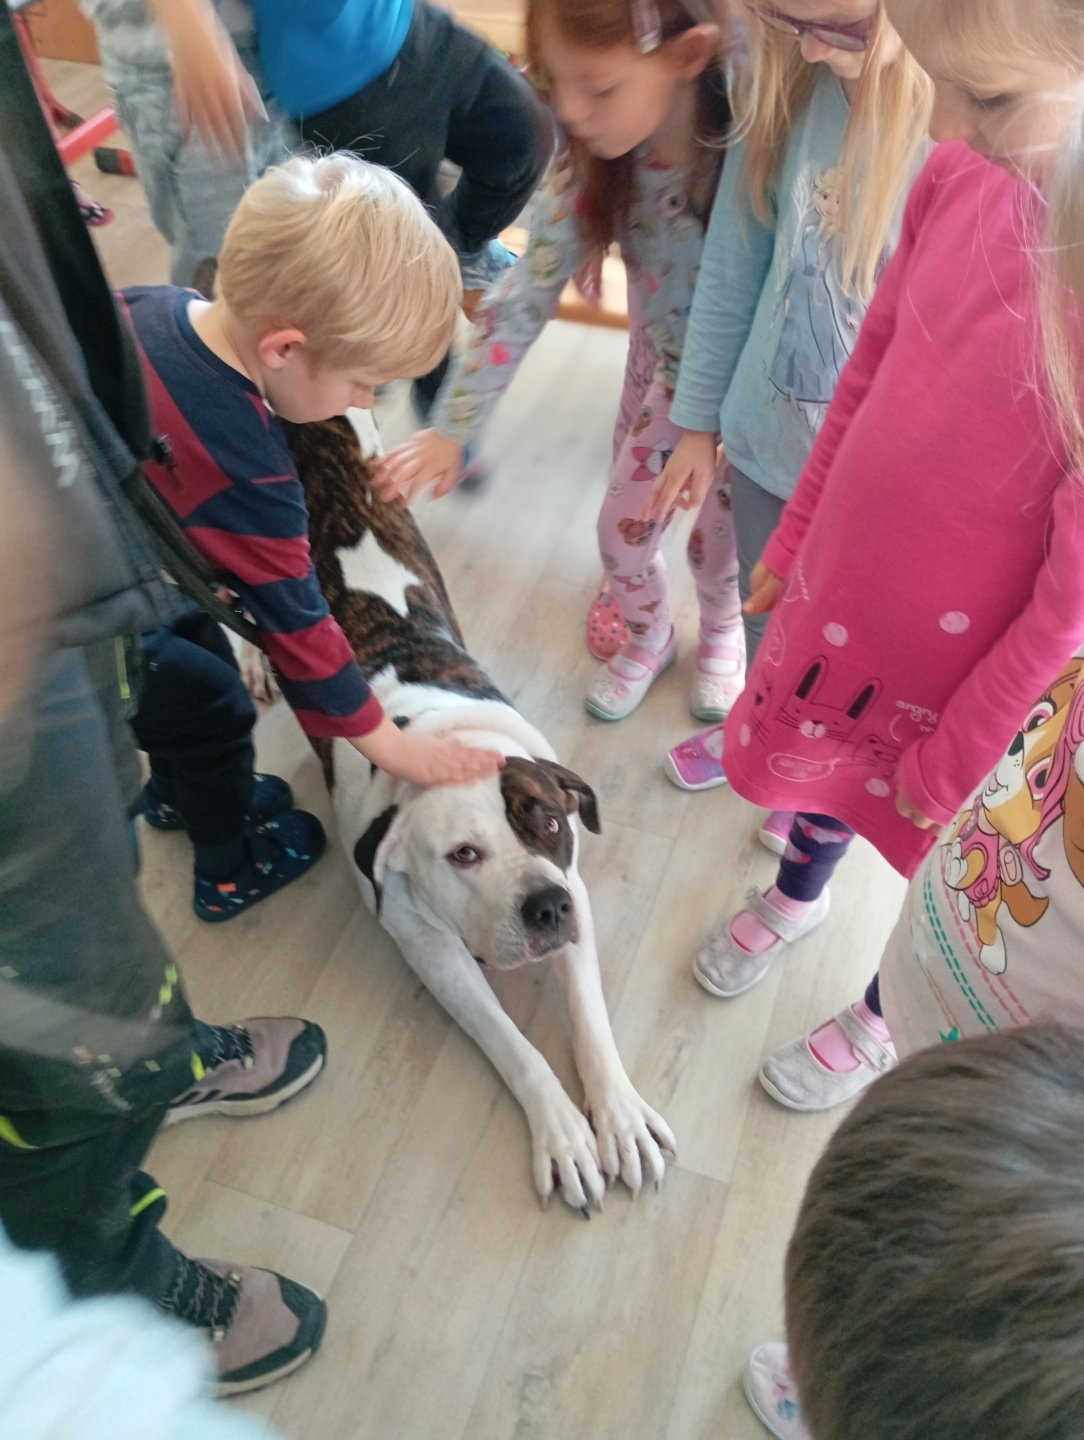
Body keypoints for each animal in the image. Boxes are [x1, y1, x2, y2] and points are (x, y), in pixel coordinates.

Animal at [286, 415, 675, 1213]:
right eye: (463, 855)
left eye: (550, 823)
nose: (546, 906)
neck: (451, 741)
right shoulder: (429, 949)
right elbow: (513, 1046)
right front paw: (565, 1133)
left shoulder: (579, 902)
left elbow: (590, 1021)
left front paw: (619, 1116)